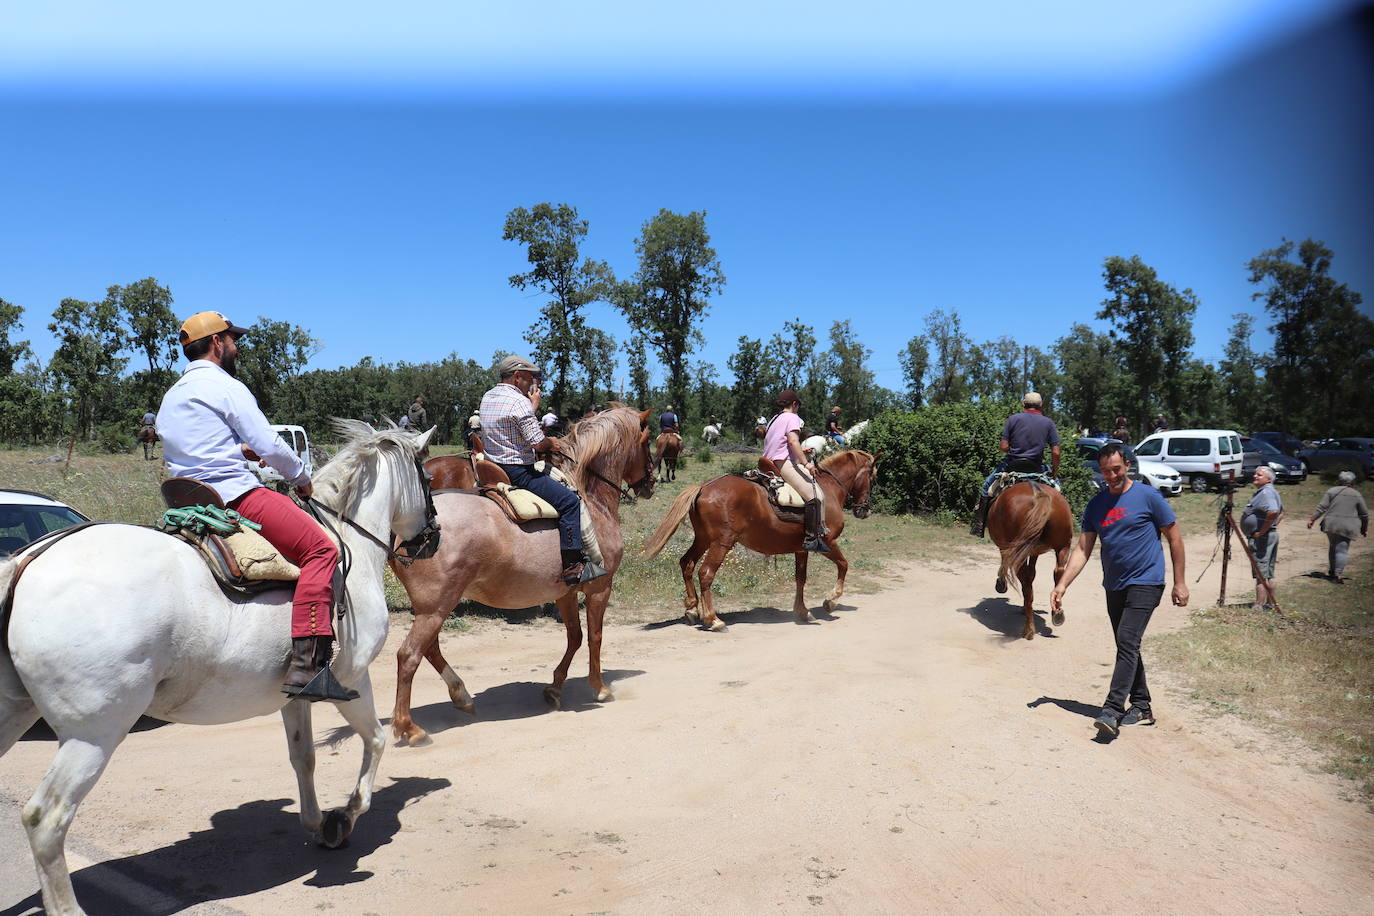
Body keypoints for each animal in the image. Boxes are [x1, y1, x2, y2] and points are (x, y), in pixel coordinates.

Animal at [0, 420, 434, 916]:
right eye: (429, 478)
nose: (434, 537)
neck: (349, 544)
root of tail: (27, 561)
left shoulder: (296, 693)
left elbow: (303, 757)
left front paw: (315, 821)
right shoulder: (353, 678)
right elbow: (376, 740)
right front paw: (342, 818)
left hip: (14, 714)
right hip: (92, 734)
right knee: (45, 819)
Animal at [384, 406, 656, 747]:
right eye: (647, 441)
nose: (651, 482)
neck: (589, 499)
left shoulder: (564, 591)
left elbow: (575, 636)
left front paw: (554, 688)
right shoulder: (599, 588)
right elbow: (595, 636)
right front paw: (601, 687)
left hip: (432, 608)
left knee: (430, 649)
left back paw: (461, 696)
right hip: (436, 607)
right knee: (409, 656)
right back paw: (409, 726)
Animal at [643, 450, 879, 631]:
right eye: (872, 477)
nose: (865, 509)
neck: (828, 489)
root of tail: (704, 486)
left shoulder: (801, 549)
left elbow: (800, 579)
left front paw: (802, 612)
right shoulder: (828, 542)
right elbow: (844, 565)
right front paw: (831, 601)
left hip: (703, 539)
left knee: (687, 564)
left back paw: (692, 608)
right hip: (721, 543)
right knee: (706, 573)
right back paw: (713, 619)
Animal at [989, 483, 1071, 642]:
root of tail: (1038, 492)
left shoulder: (1007, 549)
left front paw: (1001, 584)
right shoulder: (1033, 552)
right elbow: (1032, 573)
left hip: (1017, 554)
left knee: (1026, 587)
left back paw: (1029, 630)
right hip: (1063, 546)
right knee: (1058, 572)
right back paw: (1057, 613)